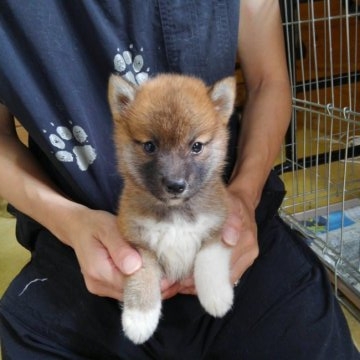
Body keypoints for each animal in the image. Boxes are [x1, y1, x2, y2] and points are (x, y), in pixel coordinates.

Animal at [107, 72, 236, 344]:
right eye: (150, 146)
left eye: (196, 146)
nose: (175, 185)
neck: (176, 213)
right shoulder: (138, 243)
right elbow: (142, 276)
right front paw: (140, 317)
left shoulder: (216, 228)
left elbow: (208, 260)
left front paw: (216, 296)